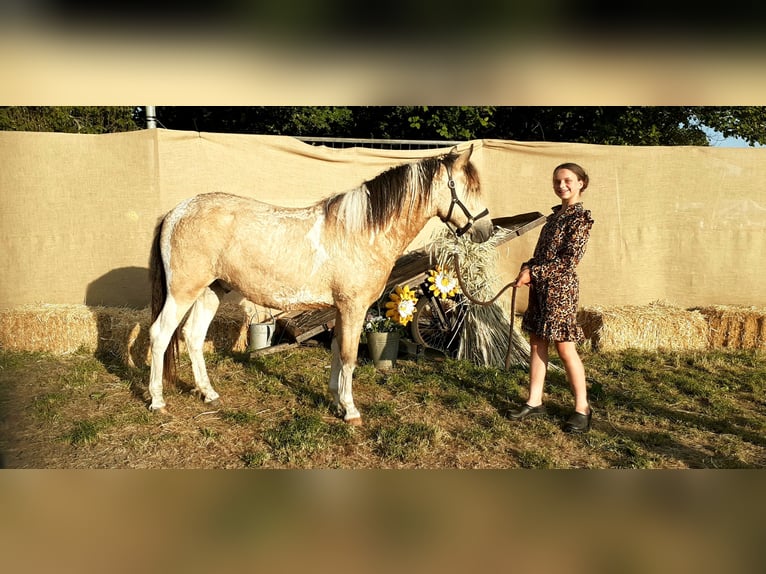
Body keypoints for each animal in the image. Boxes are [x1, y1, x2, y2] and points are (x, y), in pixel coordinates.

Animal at [147, 145, 493, 425]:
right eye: (468, 187)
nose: (486, 230)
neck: (362, 232)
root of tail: (176, 212)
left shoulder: (341, 308)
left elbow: (339, 350)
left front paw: (335, 399)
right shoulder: (354, 307)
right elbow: (351, 355)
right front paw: (351, 411)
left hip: (211, 291)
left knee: (192, 336)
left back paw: (208, 393)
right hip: (183, 292)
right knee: (160, 335)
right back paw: (158, 401)